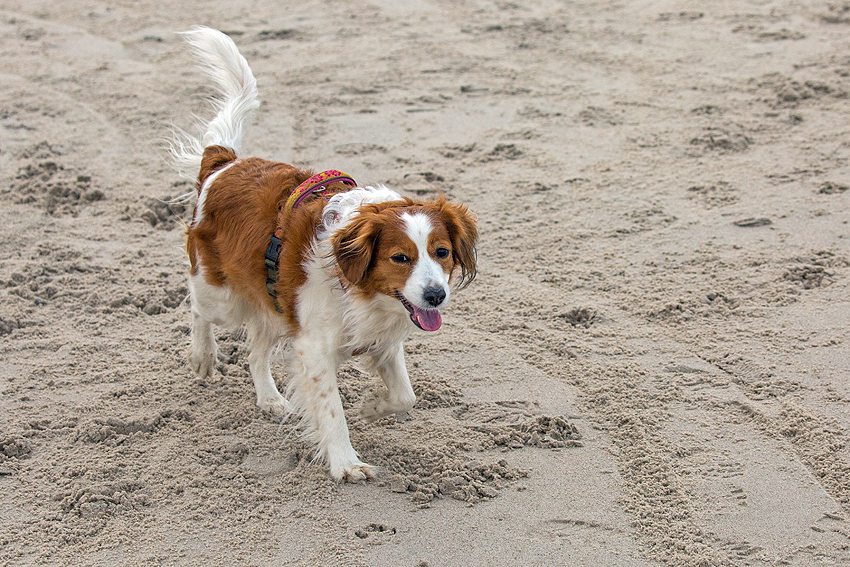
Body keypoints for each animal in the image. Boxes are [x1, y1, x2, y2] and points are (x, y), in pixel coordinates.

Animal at [167, 24, 476, 482]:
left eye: (442, 252)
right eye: (400, 258)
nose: (436, 296)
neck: (360, 289)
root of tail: (225, 164)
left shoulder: (379, 341)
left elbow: (406, 396)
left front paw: (374, 406)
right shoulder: (313, 347)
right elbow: (333, 413)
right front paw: (346, 463)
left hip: (274, 304)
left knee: (255, 352)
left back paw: (269, 398)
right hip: (221, 294)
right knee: (197, 309)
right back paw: (203, 356)